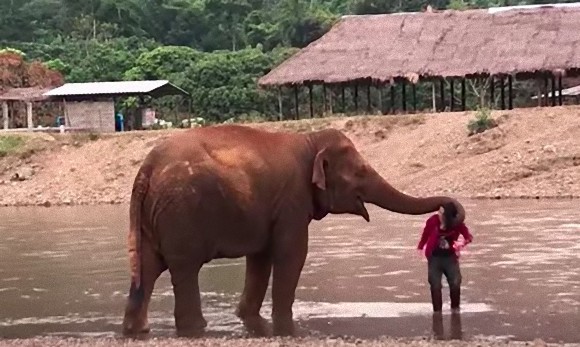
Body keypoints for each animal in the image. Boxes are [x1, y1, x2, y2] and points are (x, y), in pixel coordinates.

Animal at [122, 123, 466, 338]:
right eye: (360, 171)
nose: (449, 211)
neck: (310, 140)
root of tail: (145, 169)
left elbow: (260, 259)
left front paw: (248, 318)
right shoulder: (292, 201)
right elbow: (292, 254)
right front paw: (283, 322)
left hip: (153, 218)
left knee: (146, 272)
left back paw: (136, 331)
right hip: (181, 215)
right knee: (184, 270)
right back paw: (194, 327)